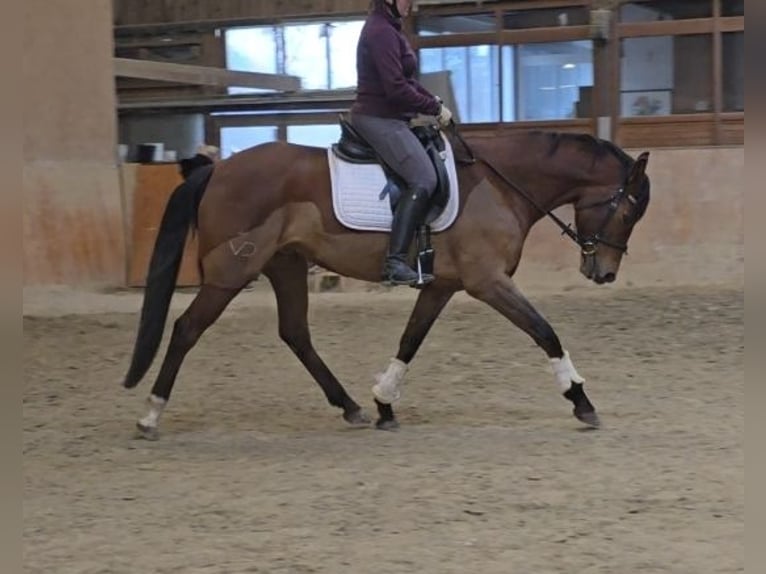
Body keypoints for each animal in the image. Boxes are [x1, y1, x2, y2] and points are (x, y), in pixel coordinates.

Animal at [123, 125, 652, 440]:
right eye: (628, 210)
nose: (604, 272)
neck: (501, 184)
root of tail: (218, 169)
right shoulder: (487, 282)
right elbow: (545, 332)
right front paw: (580, 399)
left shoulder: (441, 285)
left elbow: (410, 341)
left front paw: (384, 404)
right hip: (231, 274)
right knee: (186, 330)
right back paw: (150, 414)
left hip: (287, 266)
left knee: (295, 334)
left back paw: (351, 406)